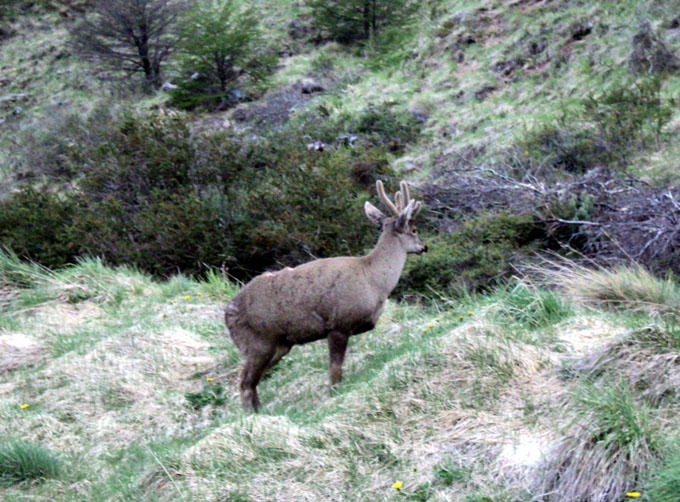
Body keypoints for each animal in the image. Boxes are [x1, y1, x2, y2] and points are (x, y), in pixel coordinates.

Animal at [224, 178, 424, 410]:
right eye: (414, 229)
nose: (424, 247)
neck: (373, 279)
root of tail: (227, 315)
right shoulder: (338, 325)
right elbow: (335, 371)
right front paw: (334, 396)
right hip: (256, 343)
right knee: (245, 384)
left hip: (278, 345)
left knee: (252, 384)